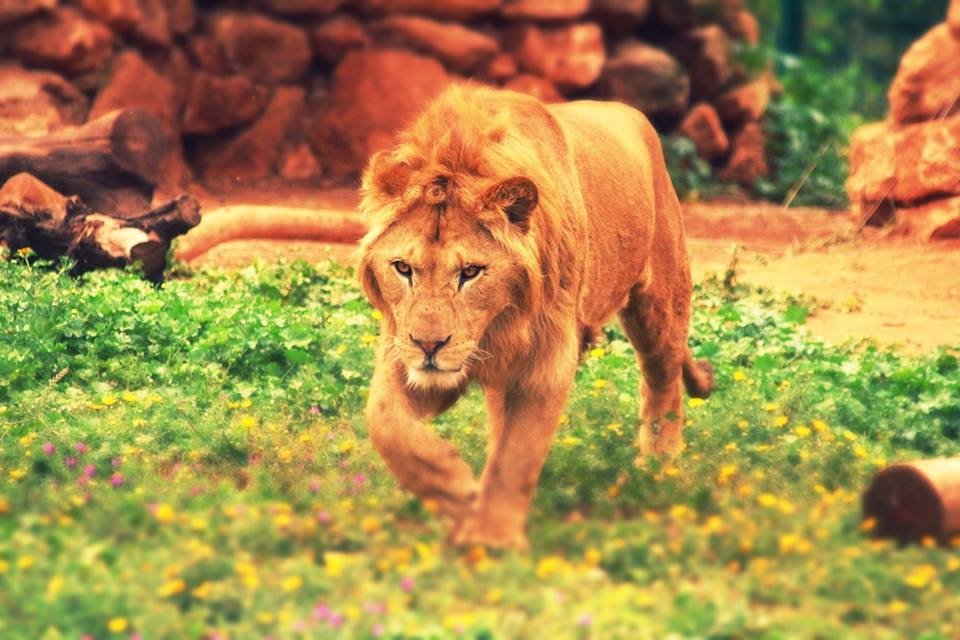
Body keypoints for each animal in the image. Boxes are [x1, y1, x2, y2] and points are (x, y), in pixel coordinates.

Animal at [357, 84, 714, 549]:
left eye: (470, 272)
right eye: (402, 268)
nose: (429, 345)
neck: (496, 328)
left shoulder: (546, 361)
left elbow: (517, 455)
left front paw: (493, 538)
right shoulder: (404, 345)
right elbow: (386, 421)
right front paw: (457, 490)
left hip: (661, 303)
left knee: (663, 384)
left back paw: (658, 468)